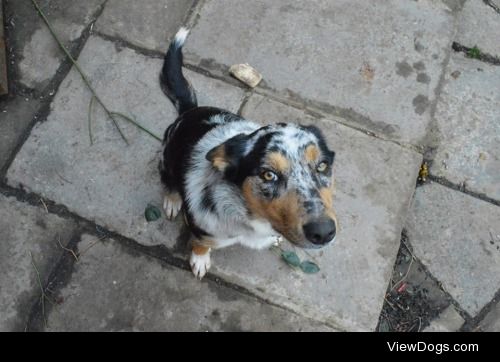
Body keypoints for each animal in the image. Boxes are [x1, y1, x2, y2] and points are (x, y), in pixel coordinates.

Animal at [159, 28, 340, 278]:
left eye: (322, 165)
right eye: (268, 174)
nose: (323, 232)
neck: (251, 218)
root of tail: (189, 111)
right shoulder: (204, 232)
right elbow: (200, 244)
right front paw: (200, 260)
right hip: (166, 159)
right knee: (169, 182)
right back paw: (172, 200)